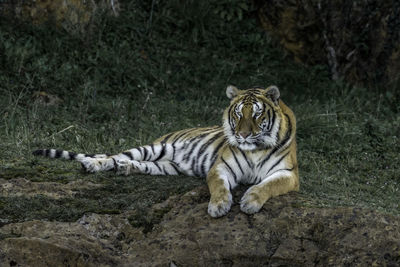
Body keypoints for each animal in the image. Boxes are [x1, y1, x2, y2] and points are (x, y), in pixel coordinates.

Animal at [33, 86, 296, 218]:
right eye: (239, 114)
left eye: (257, 114)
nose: (242, 135)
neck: (254, 150)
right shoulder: (221, 167)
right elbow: (219, 187)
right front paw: (218, 206)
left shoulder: (289, 174)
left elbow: (267, 185)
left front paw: (250, 201)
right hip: (154, 147)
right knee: (114, 156)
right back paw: (94, 164)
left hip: (165, 166)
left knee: (137, 164)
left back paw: (125, 169)